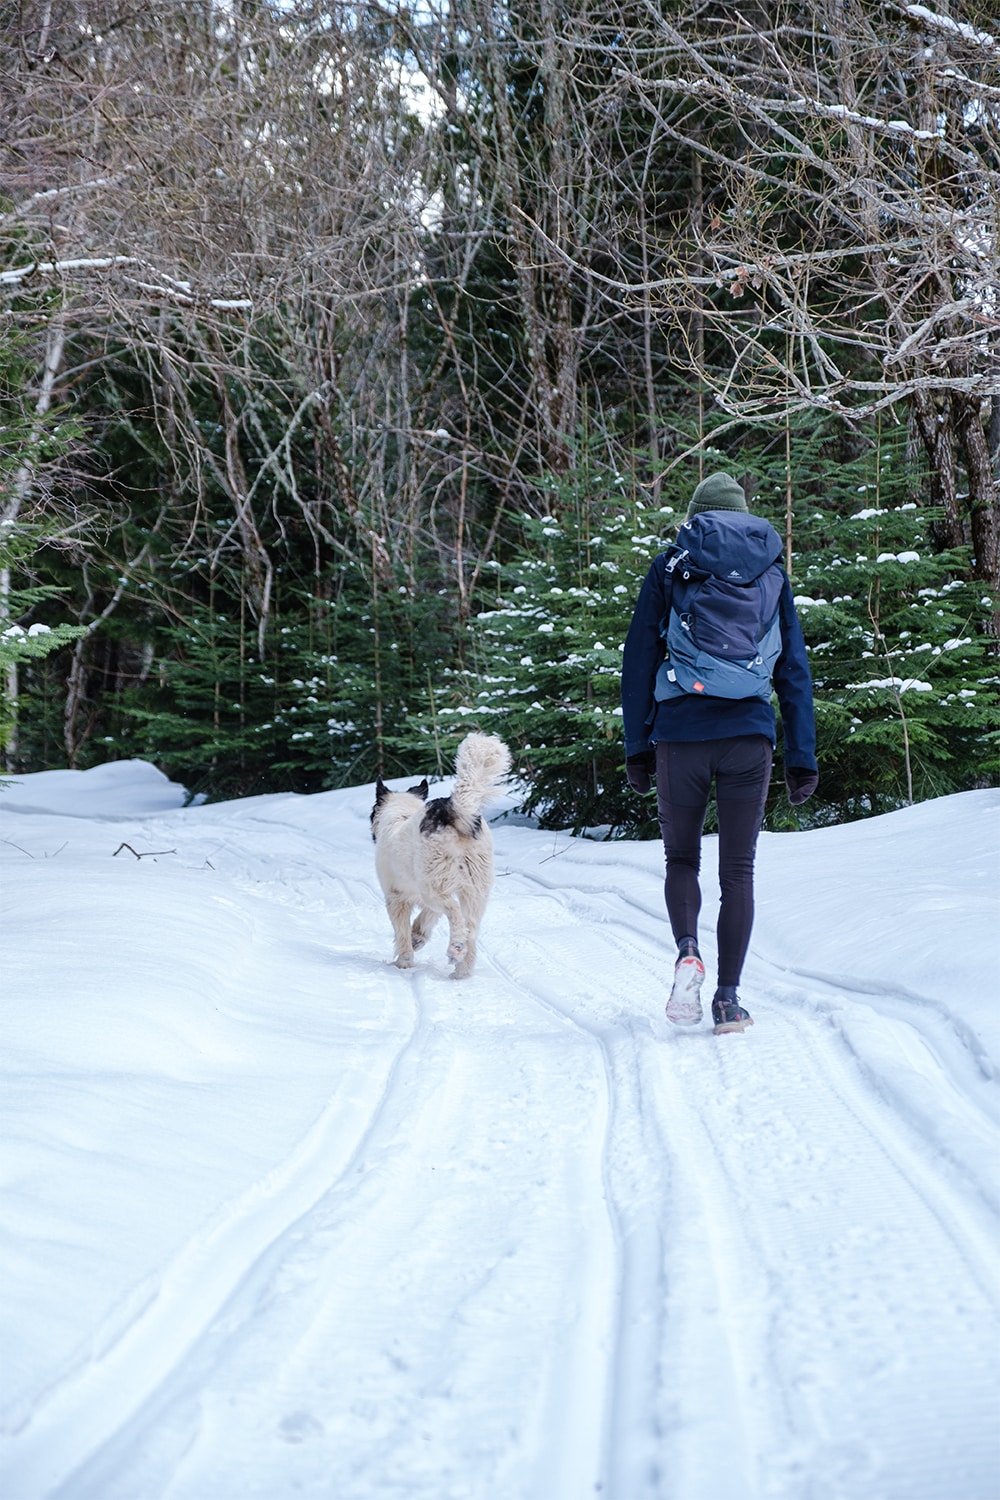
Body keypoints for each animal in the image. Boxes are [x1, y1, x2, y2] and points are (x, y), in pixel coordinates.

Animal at [367, 732, 512, 978]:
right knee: (471, 927)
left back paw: (456, 948)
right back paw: (462, 971)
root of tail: (455, 810)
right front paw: (417, 938)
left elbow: (402, 931)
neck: (401, 814)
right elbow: (425, 919)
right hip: (475, 888)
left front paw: (404, 961)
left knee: (454, 910)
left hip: (433, 884)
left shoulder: (396, 898)